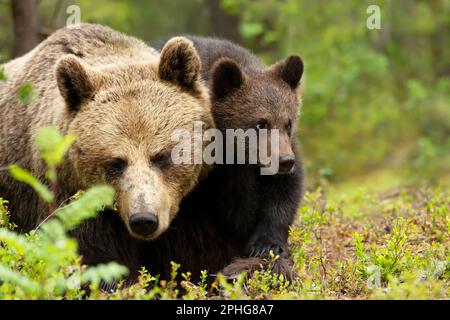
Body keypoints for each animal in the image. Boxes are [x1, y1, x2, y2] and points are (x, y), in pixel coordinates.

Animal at [0, 24, 214, 280]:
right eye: (116, 162)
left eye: (161, 156)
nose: (144, 220)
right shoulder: (72, 198)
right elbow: (93, 259)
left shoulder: (190, 207)